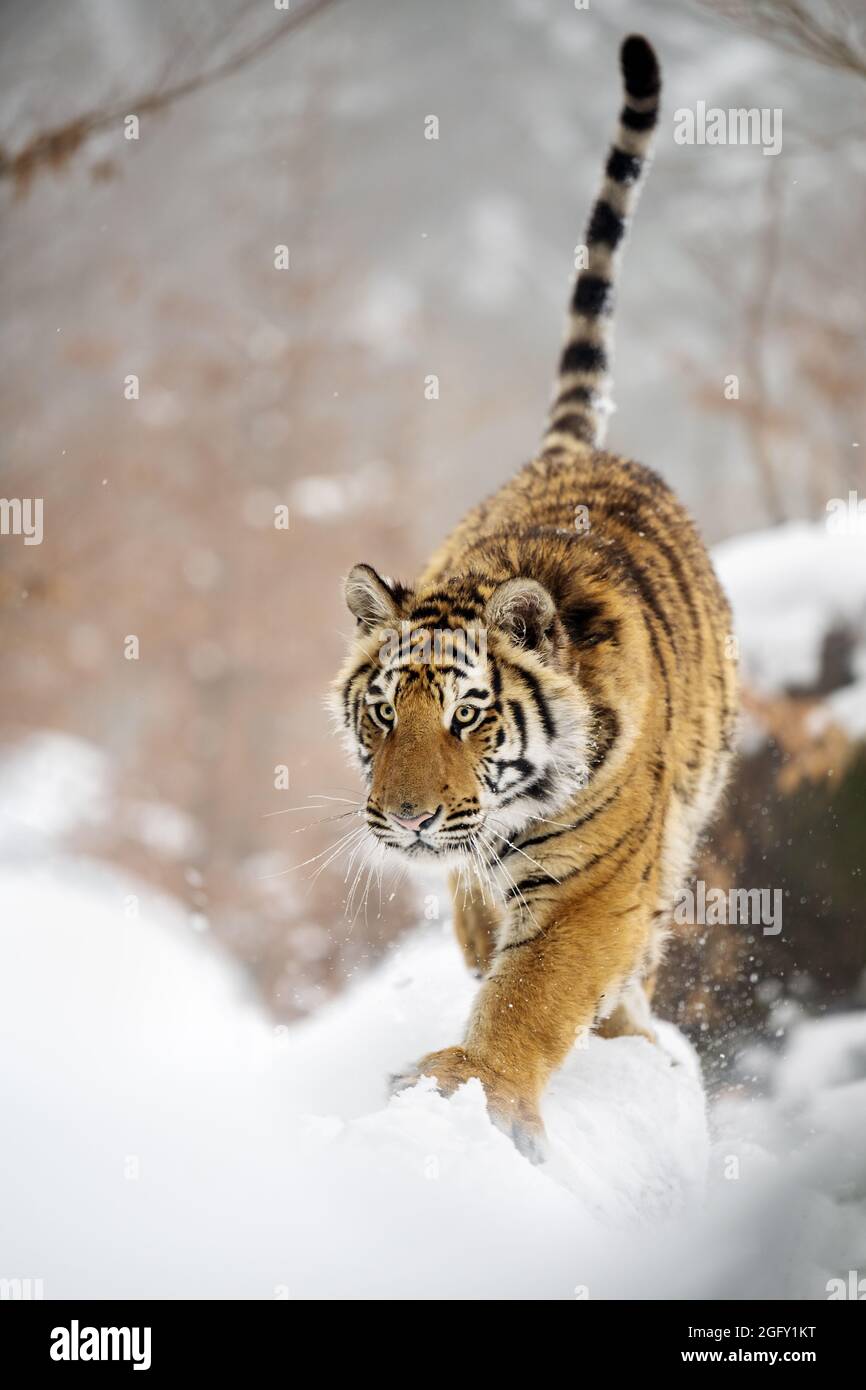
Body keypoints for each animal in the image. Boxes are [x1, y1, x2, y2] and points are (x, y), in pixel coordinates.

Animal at [328, 35, 733, 1162]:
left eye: (469, 717)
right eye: (382, 714)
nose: (408, 818)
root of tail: (573, 451)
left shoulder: (598, 887)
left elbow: (533, 993)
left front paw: (474, 1090)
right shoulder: (479, 864)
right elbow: (493, 954)